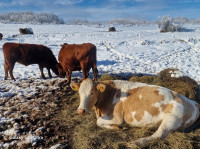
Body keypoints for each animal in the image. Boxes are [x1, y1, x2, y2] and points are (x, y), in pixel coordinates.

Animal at [70, 78, 200, 147]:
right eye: (79, 92)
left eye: (92, 93)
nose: (81, 110)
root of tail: (194, 103)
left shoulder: (117, 117)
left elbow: (98, 122)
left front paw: (116, 127)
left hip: (171, 119)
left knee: (158, 135)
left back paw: (136, 143)